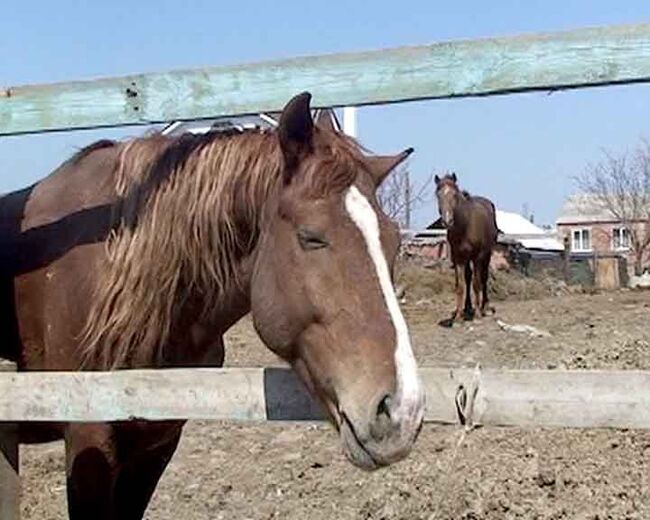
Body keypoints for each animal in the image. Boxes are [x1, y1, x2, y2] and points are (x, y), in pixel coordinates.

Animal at [432, 174, 498, 324]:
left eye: (455, 194)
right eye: (438, 195)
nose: (447, 221)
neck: (465, 225)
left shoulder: (478, 257)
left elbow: (477, 283)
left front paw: (478, 314)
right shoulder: (458, 258)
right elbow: (461, 286)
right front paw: (457, 317)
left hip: (487, 254)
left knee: (484, 277)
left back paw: (485, 307)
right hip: (467, 258)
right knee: (468, 277)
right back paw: (467, 308)